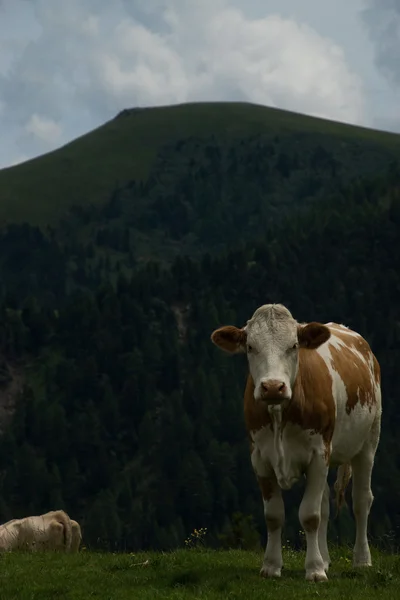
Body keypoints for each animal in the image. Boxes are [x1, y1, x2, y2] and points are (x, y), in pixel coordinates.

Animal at [209, 304, 382, 580]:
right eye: (250, 347)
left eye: (293, 345)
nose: (272, 387)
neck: (280, 414)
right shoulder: (259, 457)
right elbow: (274, 515)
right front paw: (271, 566)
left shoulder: (318, 453)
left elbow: (310, 515)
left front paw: (314, 570)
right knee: (325, 505)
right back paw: (326, 558)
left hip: (368, 441)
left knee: (361, 500)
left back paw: (362, 560)